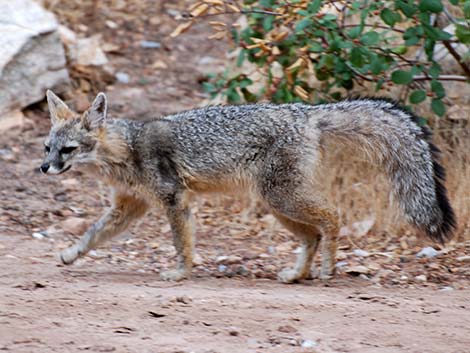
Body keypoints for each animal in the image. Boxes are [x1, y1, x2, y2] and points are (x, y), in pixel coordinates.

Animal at [41, 90, 456, 280]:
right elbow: (93, 234)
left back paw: (326, 268)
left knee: (332, 218)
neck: (126, 150)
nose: (43, 168)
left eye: (68, 149)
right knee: (312, 235)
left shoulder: (175, 200)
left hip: (283, 198)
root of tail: (307, 112)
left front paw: (180, 273)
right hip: (277, 204)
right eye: (47, 147)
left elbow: (181, 243)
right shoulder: (129, 207)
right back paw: (297, 275)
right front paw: (71, 254)